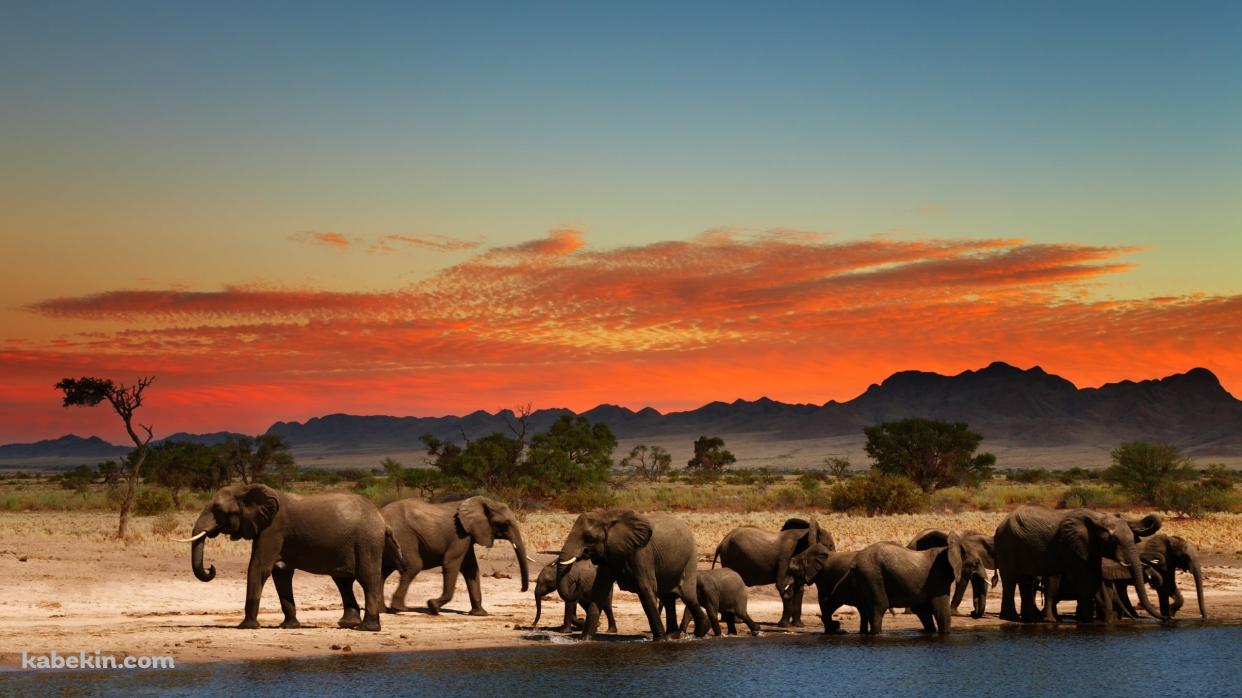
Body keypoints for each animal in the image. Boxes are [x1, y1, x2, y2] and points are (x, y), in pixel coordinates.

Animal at [183, 483, 405, 631]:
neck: (248, 489)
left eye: (219, 510)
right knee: (343, 581)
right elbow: (280, 574)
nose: (211, 568)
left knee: (367, 578)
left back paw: (367, 628)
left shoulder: (273, 530)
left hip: (367, 540)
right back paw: (347, 624)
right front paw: (289, 626)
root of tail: (382, 520)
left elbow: (259, 568)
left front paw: (246, 626)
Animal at [382, 495, 530, 615]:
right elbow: (451, 563)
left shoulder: (467, 535)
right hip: (402, 536)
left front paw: (480, 614)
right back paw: (399, 609)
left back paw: (383, 610)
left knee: (382, 571)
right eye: (505, 524)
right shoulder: (459, 535)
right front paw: (432, 606)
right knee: (413, 566)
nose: (522, 590)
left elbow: (471, 569)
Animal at [556, 509, 708, 641]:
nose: (578, 582)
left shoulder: (641, 553)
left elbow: (645, 588)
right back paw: (673, 636)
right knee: (668, 598)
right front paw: (584, 640)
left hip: (691, 558)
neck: (608, 516)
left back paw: (699, 632)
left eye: (589, 537)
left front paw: (660, 640)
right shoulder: (608, 553)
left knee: (687, 596)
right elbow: (599, 590)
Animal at [994, 505, 1164, 623]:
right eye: (1113, 540)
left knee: (1026, 580)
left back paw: (1029, 620)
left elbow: (1096, 577)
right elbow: (1084, 577)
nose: (1166, 618)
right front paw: (1087, 620)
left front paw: (1106, 621)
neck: (1097, 517)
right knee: (1010, 580)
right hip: (1006, 545)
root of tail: (1000, 525)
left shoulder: (1091, 548)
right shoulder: (1073, 545)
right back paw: (1011, 618)